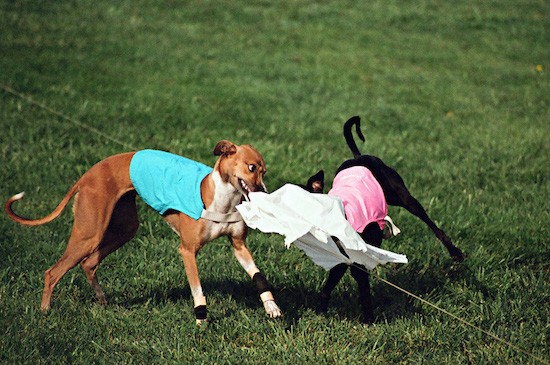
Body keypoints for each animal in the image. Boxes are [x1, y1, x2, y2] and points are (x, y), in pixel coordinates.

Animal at [5, 141, 284, 322]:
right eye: (251, 168)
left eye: (264, 171)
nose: (264, 192)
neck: (222, 199)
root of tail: (88, 174)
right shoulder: (187, 251)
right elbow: (197, 289)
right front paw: (201, 319)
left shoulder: (239, 246)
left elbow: (258, 276)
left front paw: (271, 306)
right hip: (89, 233)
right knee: (53, 272)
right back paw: (45, 312)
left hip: (123, 230)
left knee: (89, 263)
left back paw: (103, 302)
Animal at [304, 116, 464, 322]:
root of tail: (358, 156)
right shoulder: (343, 259)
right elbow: (328, 287)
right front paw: (321, 314)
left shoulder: (358, 259)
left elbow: (363, 287)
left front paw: (368, 321)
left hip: (402, 196)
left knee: (431, 223)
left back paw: (455, 252)